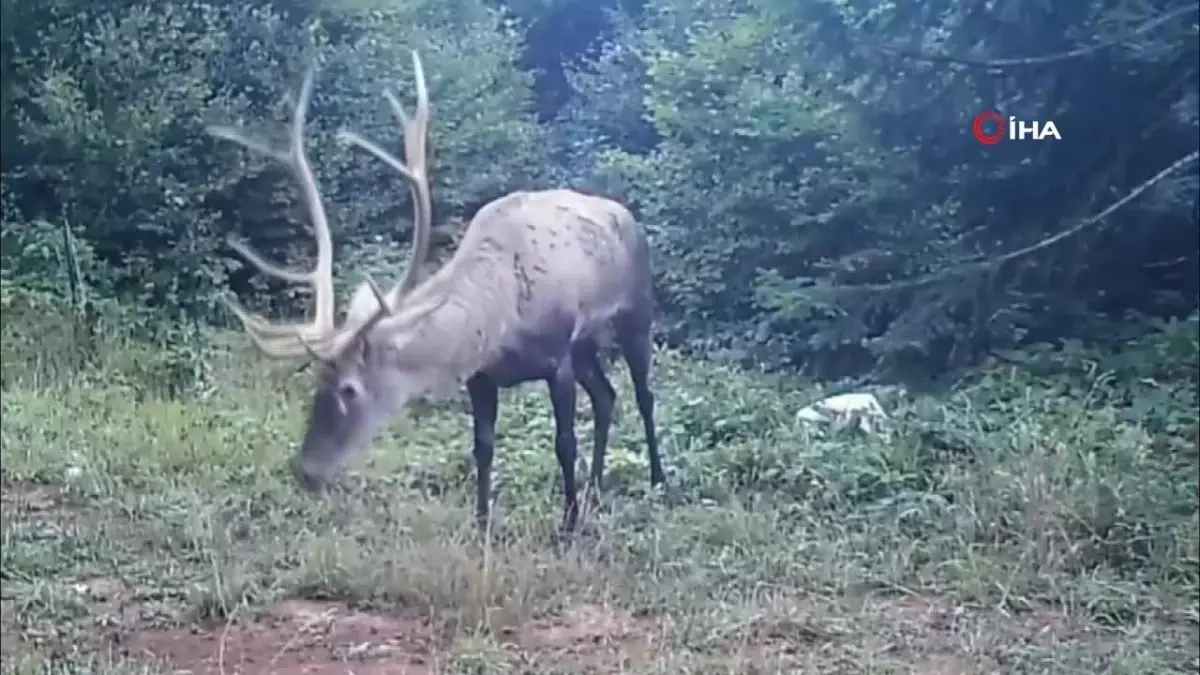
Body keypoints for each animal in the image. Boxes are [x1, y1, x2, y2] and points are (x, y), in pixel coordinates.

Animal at [212, 52, 672, 533]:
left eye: (350, 389)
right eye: (315, 382)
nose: (306, 471)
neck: (499, 323)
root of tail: (629, 218)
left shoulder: (557, 356)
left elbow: (564, 442)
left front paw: (569, 523)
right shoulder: (482, 376)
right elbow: (482, 447)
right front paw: (482, 523)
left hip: (636, 311)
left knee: (643, 395)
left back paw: (657, 481)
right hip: (587, 345)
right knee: (606, 397)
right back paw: (597, 485)